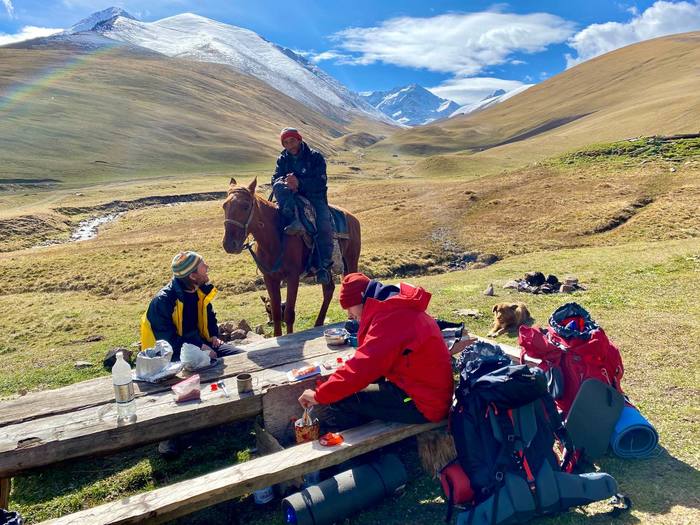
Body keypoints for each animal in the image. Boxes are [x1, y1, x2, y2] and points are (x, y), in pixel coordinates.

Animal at [221, 177, 360, 336]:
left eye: (245, 206)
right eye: (224, 206)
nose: (229, 244)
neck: (275, 237)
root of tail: (353, 218)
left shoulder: (292, 277)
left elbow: (288, 314)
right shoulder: (270, 278)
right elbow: (276, 314)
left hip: (351, 260)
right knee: (328, 290)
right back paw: (318, 324)